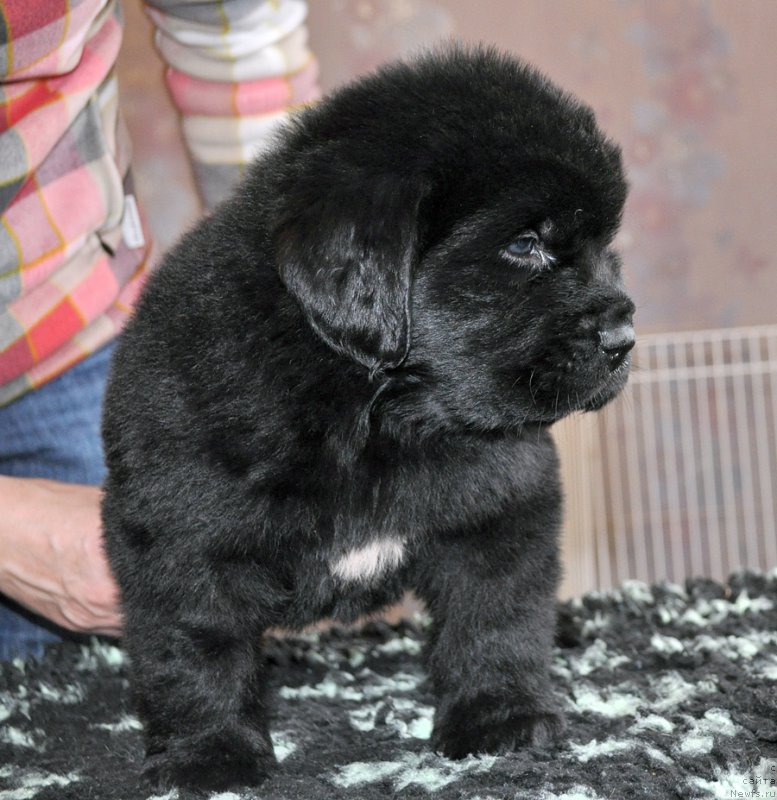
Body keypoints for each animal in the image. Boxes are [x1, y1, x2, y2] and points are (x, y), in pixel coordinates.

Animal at [103, 47, 632, 792]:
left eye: (604, 245)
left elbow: (497, 614)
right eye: (526, 245)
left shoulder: (501, 503)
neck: (378, 412)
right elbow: (196, 644)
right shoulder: (181, 532)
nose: (623, 338)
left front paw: (500, 717)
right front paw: (208, 754)